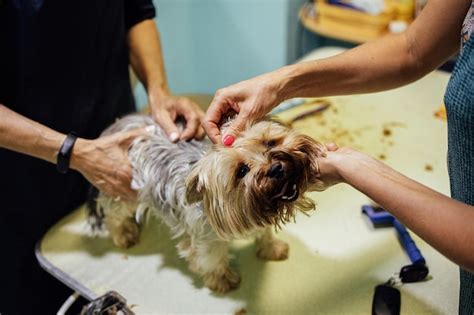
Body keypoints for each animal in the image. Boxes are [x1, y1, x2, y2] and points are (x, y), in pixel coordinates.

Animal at [88, 113, 326, 294]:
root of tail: (118, 124)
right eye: (242, 171)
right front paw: (222, 280)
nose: (276, 168)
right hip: (120, 188)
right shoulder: (206, 238)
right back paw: (123, 234)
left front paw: (272, 248)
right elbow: (211, 259)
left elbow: (264, 233)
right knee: (112, 214)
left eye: (269, 142)